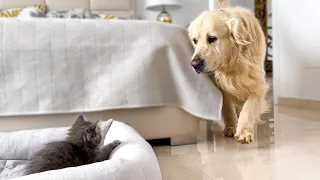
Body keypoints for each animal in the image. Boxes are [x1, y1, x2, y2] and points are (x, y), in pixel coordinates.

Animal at [188, 0, 270, 143]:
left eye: (212, 38)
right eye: (195, 41)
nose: (194, 64)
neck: (233, 63)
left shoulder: (257, 84)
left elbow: (248, 107)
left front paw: (244, 131)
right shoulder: (220, 86)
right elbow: (227, 108)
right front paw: (231, 126)